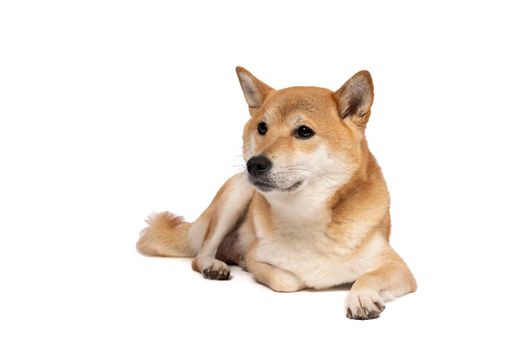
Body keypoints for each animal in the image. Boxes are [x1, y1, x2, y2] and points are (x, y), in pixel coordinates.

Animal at [137, 66, 416, 320]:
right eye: (262, 127)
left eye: (304, 131)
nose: (254, 164)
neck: (307, 217)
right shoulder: (258, 257)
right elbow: (288, 280)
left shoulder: (399, 268)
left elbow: (367, 278)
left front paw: (361, 297)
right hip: (237, 192)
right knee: (200, 255)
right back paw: (214, 265)